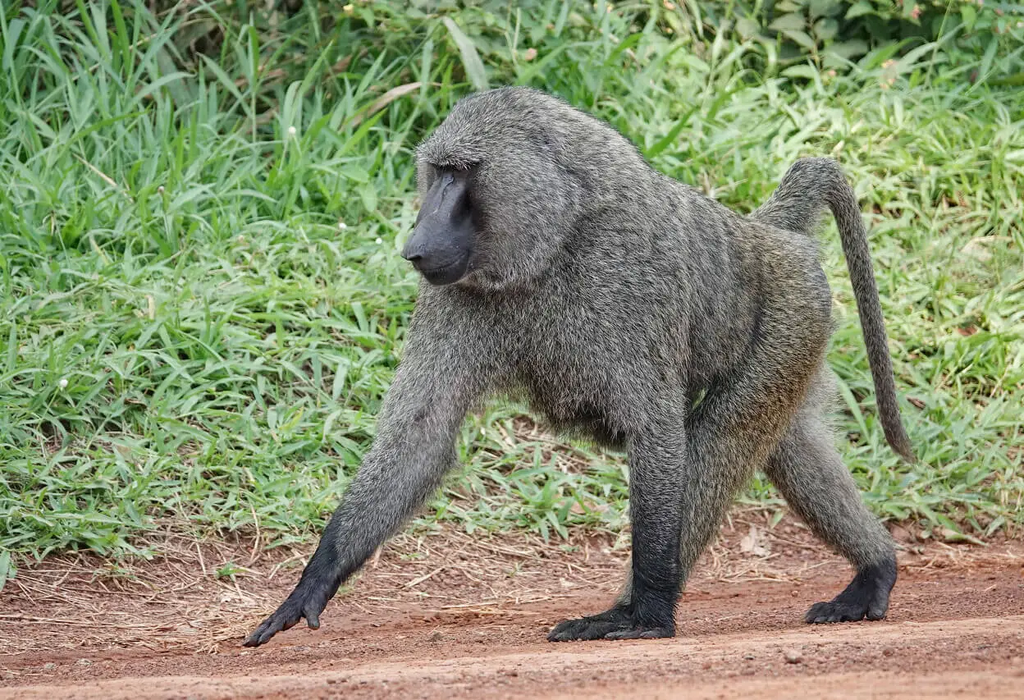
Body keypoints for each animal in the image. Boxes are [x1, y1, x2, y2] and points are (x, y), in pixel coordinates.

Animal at [243, 86, 913, 647]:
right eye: (437, 172)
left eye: (461, 174)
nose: (415, 245)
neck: (556, 239)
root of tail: (762, 234)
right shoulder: (453, 296)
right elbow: (420, 435)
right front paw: (312, 583)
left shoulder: (631, 273)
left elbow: (654, 430)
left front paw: (648, 616)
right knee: (787, 443)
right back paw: (877, 569)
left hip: (792, 312)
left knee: (724, 436)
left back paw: (633, 608)